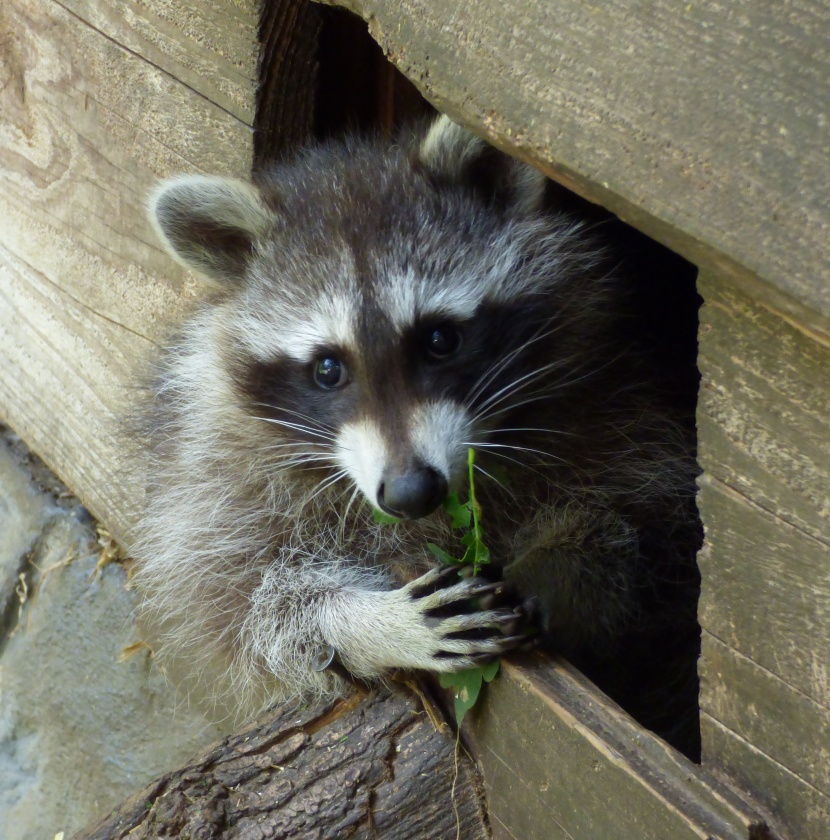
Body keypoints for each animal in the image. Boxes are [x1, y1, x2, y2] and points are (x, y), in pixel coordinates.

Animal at [135, 116, 704, 756]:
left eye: (439, 339)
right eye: (327, 369)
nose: (411, 493)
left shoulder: (614, 393)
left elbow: (651, 523)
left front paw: (562, 563)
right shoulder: (214, 469)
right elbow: (243, 607)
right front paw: (368, 622)